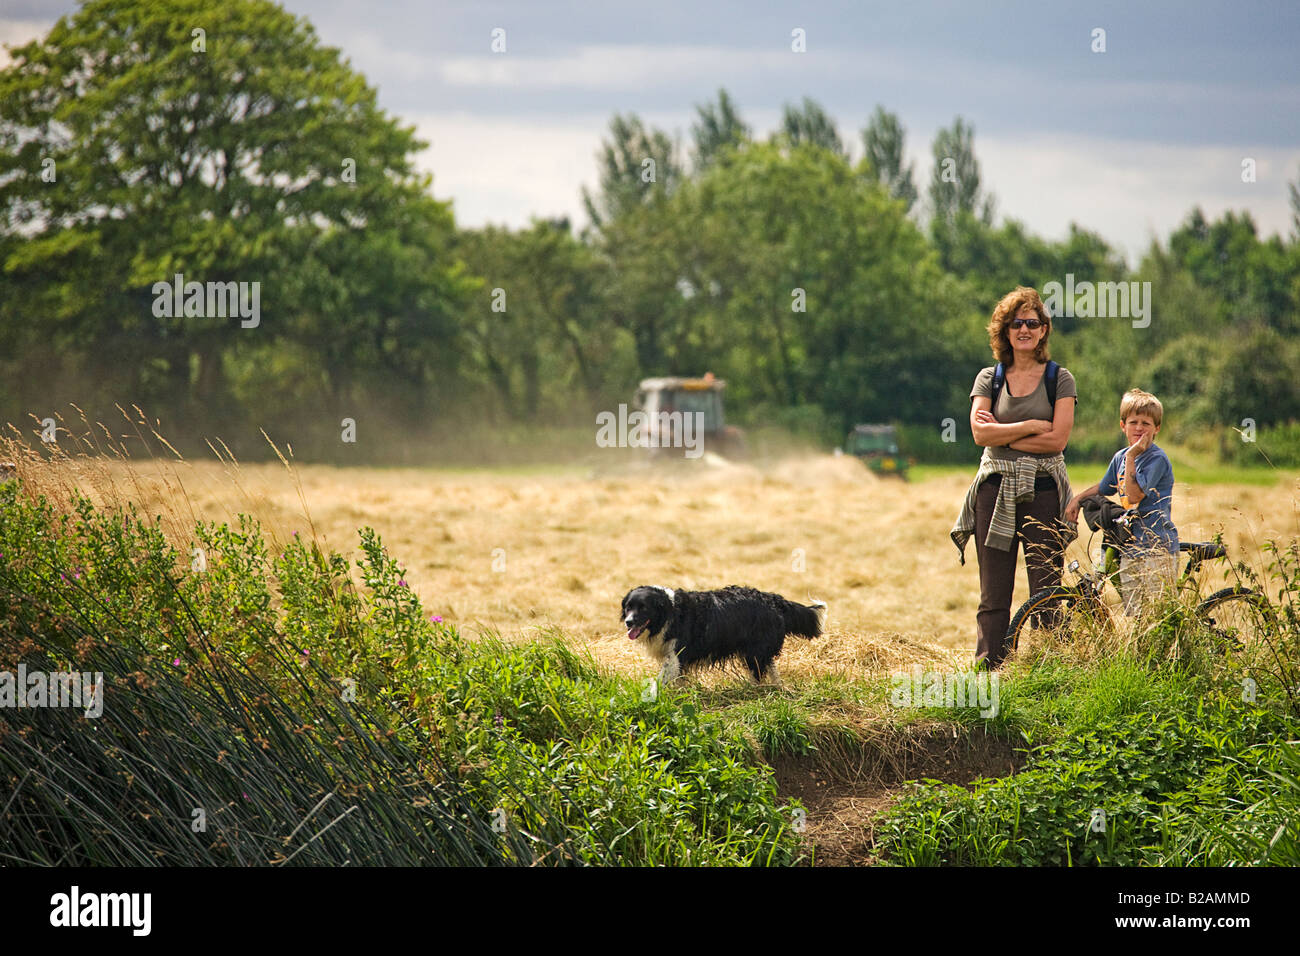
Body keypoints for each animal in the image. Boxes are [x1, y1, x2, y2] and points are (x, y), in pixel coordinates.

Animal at [616, 587, 821, 686]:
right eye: (628, 607)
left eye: (643, 608)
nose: (629, 622)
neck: (668, 611)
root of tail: (774, 599)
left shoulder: (676, 655)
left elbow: (661, 679)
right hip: (757, 649)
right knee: (769, 667)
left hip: (754, 650)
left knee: (758, 672)